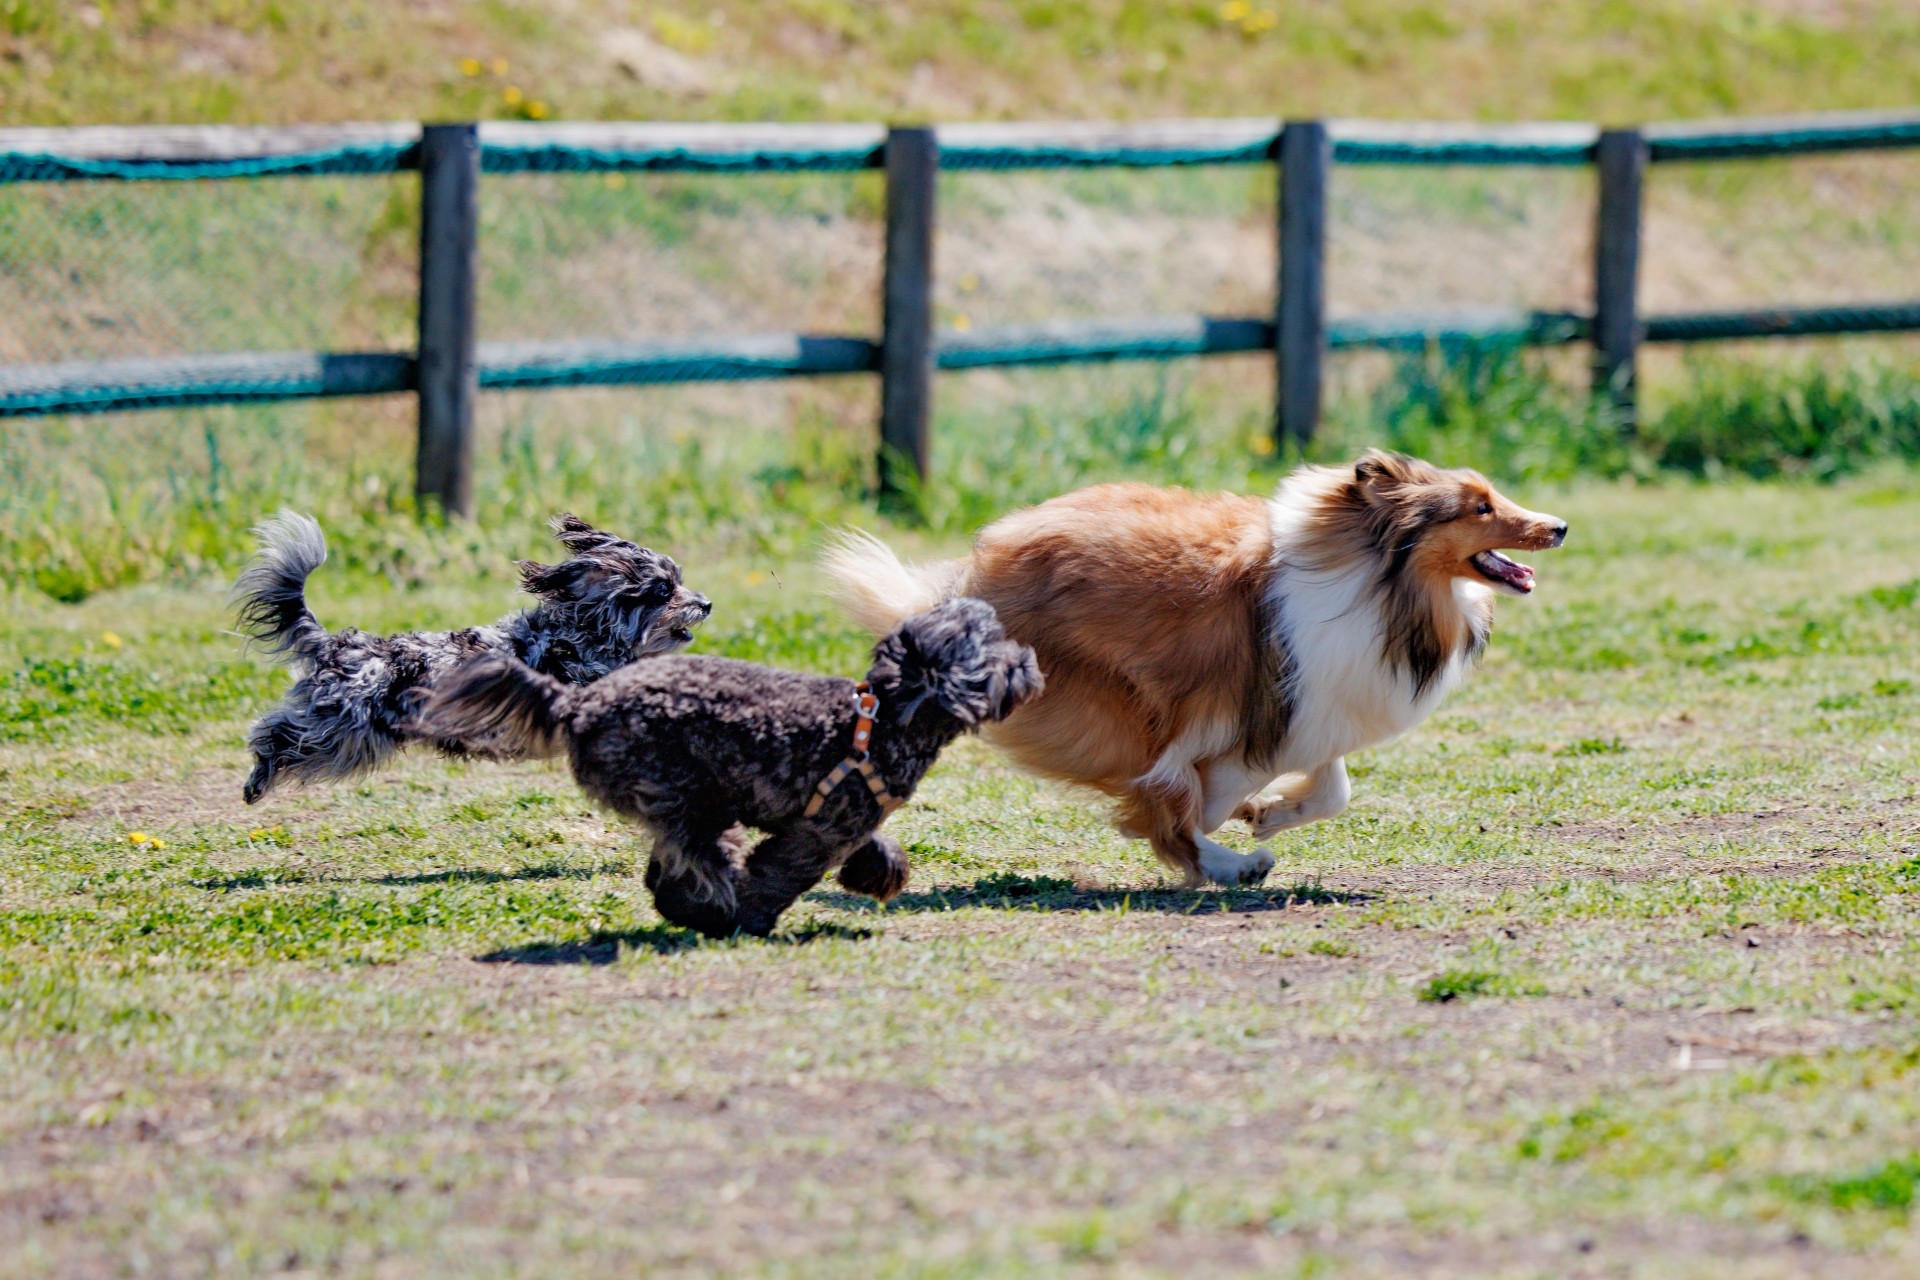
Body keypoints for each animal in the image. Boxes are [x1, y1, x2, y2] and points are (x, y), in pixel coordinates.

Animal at [234, 506, 714, 802]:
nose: (706, 603)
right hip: (344, 733)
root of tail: (335, 643)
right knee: (275, 734)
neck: (586, 634)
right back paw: (258, 778)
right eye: (664, 589)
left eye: (679, 580)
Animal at [420, 594, 1044, 936]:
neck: (888, 717)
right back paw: (703, 907)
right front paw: (751, 916)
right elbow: (778, 873)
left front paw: (881, 873)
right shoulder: (821, 829)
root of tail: (577, 704)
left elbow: (871, 849)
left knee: (677, 856)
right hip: (680, 787)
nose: (1032, 663)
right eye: (997, 653)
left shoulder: (838, 819)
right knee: (697, 853)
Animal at [833, 452, 1566, 890]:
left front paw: (1268, 811)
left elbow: (1332, 788)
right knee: (1164, 790)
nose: (1559, 526)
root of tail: (973, 578)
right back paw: (1233, 863)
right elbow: (1199, 795)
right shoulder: (1258, 703)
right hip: (1112, 700)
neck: (1382, 583)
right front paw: (1234, 821)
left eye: (1494, 495)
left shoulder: (1307, 706)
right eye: (1479, 507)